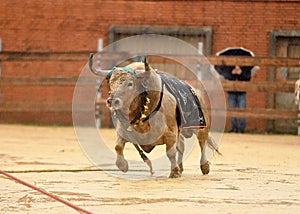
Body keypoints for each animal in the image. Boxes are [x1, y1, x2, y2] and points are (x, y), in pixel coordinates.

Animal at [88, 53, 218, 177]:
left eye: (130, 83)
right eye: (111, 83)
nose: (112, 101)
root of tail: (195, 91)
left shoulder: (171, 133)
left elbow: (170, 153)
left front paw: (174, 172)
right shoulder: (123, 131)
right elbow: (118, 147)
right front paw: (122, 165)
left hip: (200, 126)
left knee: (202, 142)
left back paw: (204, 166)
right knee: (181, 146)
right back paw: (181, 168)